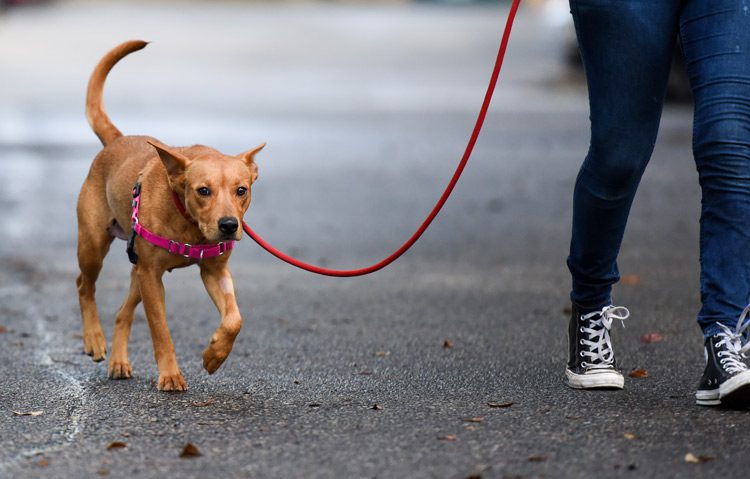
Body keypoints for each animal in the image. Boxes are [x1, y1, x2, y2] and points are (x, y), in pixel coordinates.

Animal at [76, 41, 264, 392]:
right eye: (203, 190)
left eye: (241, 190)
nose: (229, 225)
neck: (188, 223)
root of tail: (117, 140)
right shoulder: (152, 277)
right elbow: (161, 330)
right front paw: (170, 375)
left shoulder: (214, 271)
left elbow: (234, 319)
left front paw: (214, 355)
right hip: (94, 247)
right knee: (84, 284)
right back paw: (94, 339)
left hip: (137, 270)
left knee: (122, 312)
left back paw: (118, 361)